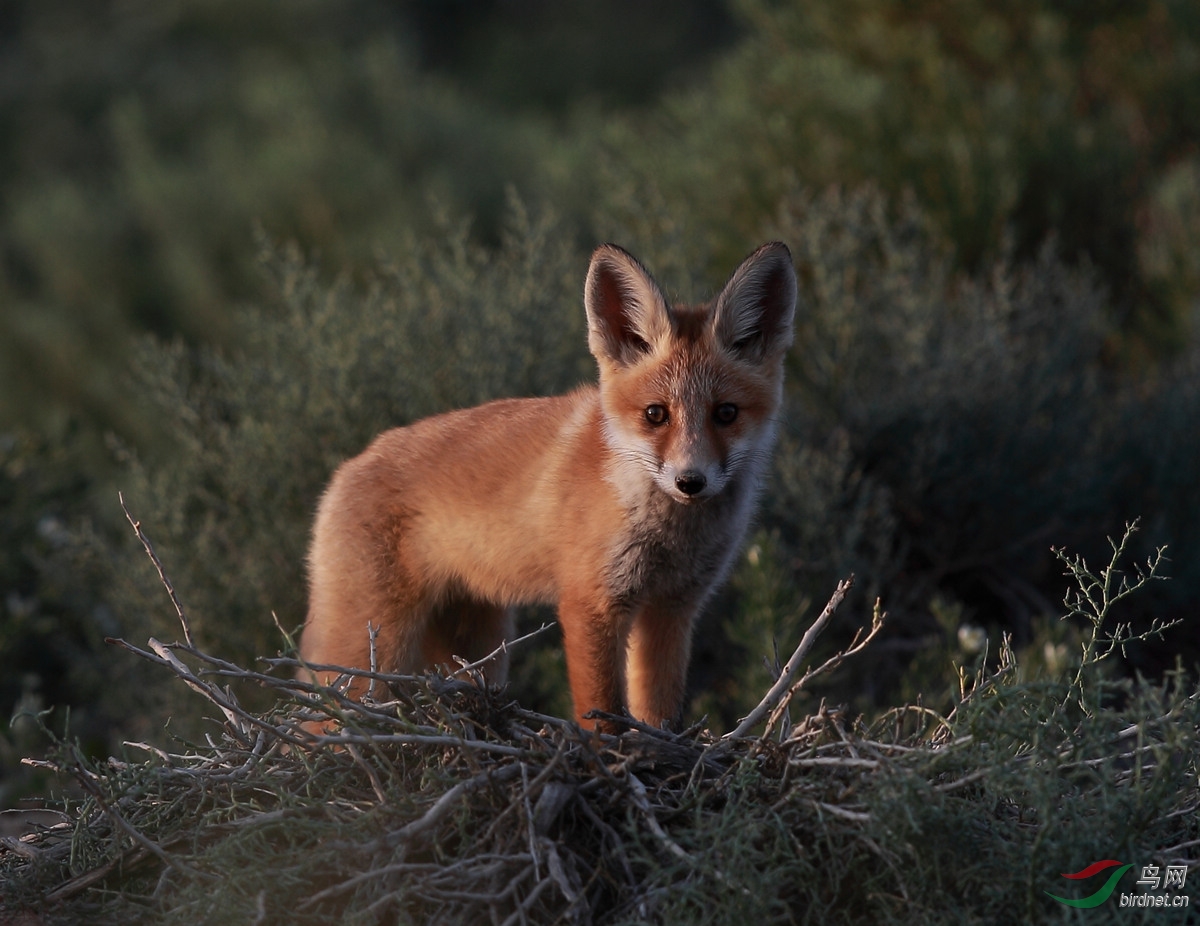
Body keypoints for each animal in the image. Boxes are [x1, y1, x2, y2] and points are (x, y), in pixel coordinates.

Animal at [302, 241, 796, 729]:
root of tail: (346, 468)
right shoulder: (590, 602)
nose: (690, 481)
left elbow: (657, 711)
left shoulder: (672, 608)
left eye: (726, 413)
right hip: (374, 645)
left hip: (478, 646)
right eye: (656, 414)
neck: (669, 533)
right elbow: (602, 715)